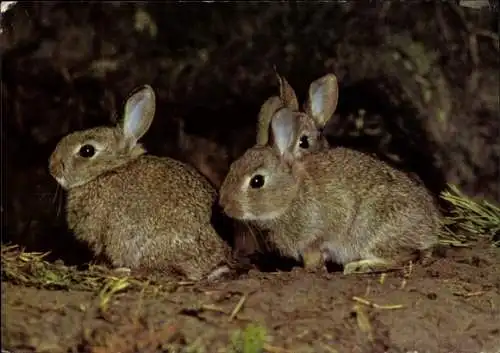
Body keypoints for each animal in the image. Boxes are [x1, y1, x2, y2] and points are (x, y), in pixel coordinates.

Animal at [219, 103, 442, 274]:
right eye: (232, 166)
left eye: (257, 181)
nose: (224, 206)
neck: (293, 194)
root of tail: (430, 230)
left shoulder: (318, 233)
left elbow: (314, 254)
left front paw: (305, 271)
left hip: (372, 231)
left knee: (404, 256)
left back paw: (359, 266)